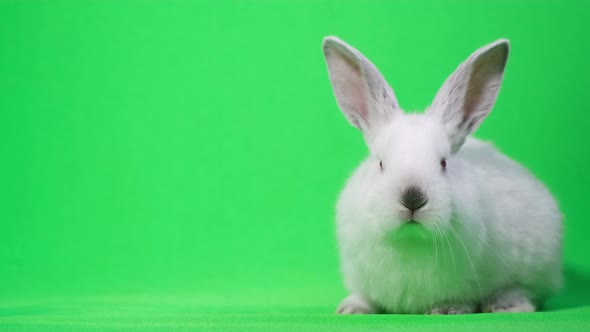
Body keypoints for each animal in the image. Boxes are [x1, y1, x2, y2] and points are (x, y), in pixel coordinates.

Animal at [324, 37, 564, 316]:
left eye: (443, 163)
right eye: (381, 163)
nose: (413, 198)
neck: (411, 243)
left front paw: (447, 309)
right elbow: (364, 296)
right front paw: (351, 309)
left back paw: (507, 305)